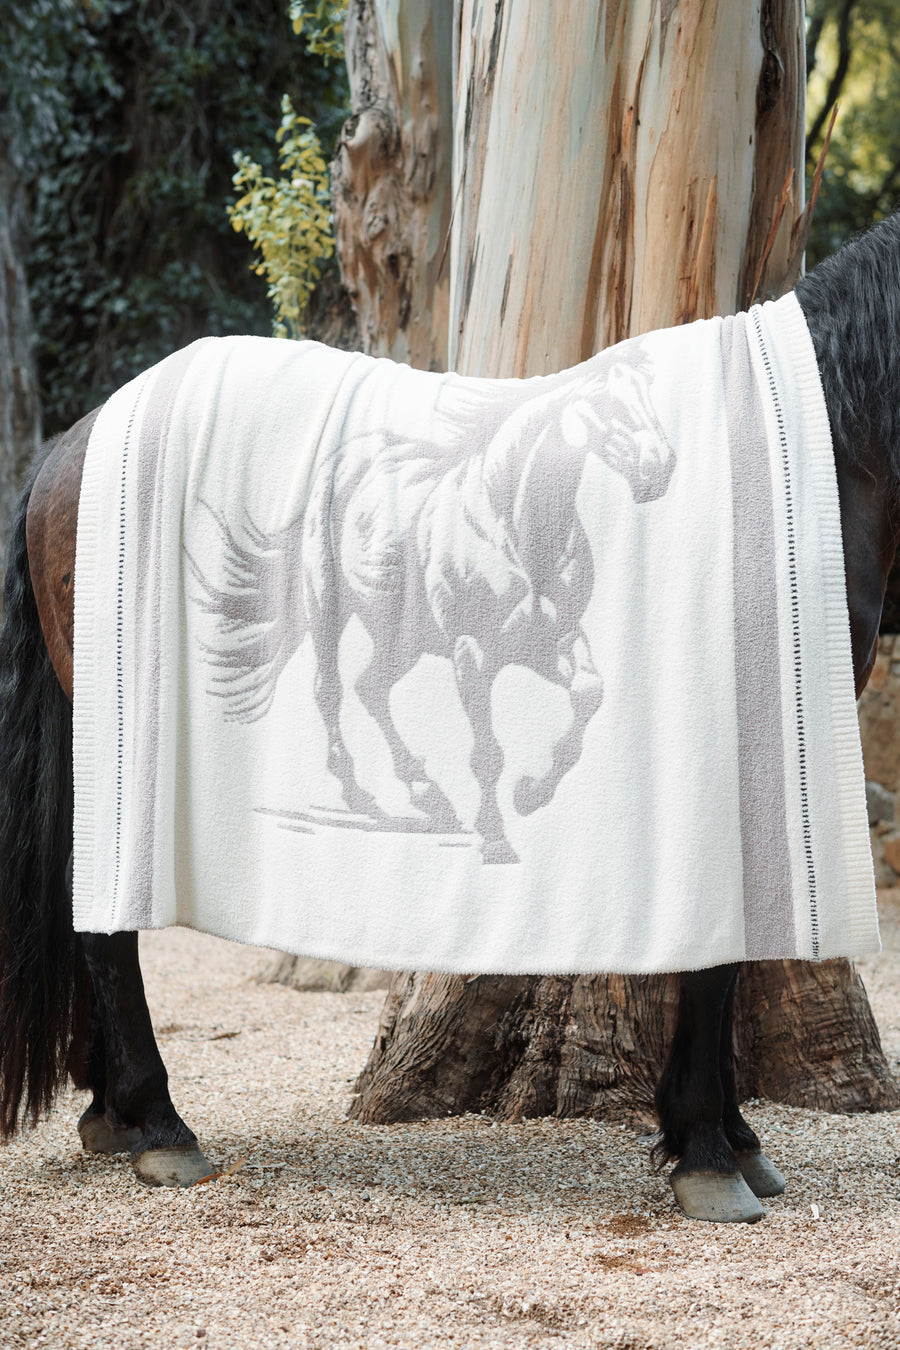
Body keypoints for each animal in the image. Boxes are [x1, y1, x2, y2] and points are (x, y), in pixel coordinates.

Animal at [0, 212, 896, 1224]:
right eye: (608, 401)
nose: (661, 470)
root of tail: (73, 443)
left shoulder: (582, 660)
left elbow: (592, 726)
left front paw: (727, 1136)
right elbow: (709, 950)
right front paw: (709, 1148)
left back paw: (116, 1108)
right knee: (153, 871)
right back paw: (160, 1124)